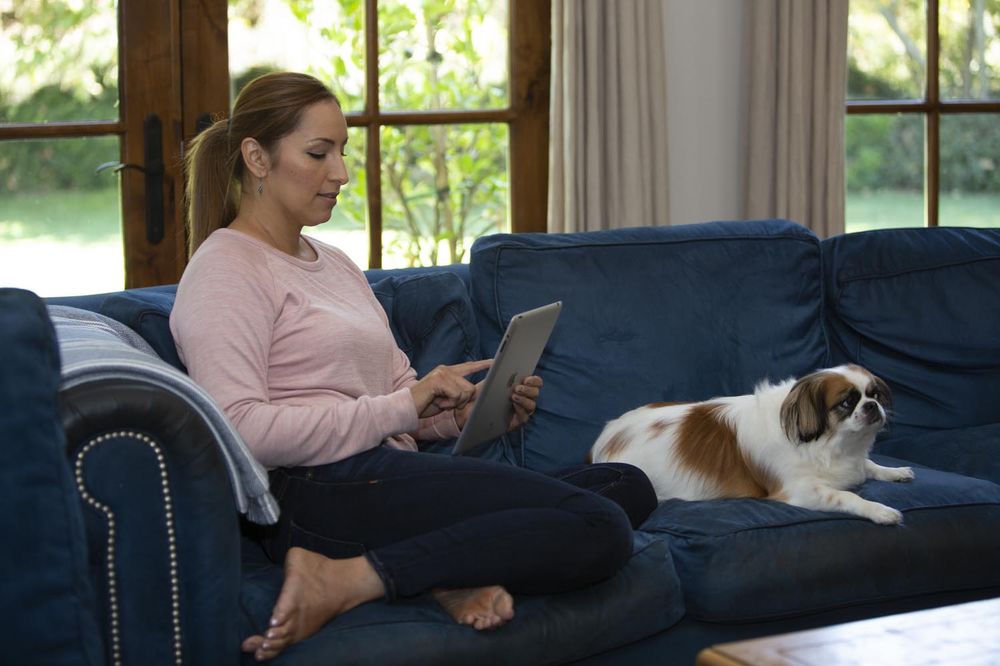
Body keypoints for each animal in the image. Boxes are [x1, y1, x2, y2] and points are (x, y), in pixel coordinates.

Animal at [589, 364, 914, 524]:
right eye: (847, 403)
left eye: (875, 394)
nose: (872, 406)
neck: (830, 444)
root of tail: (600, 442)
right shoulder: (799, 491)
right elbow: (846, 497)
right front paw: (880, 511)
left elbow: (869, 465)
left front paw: (894, 472)